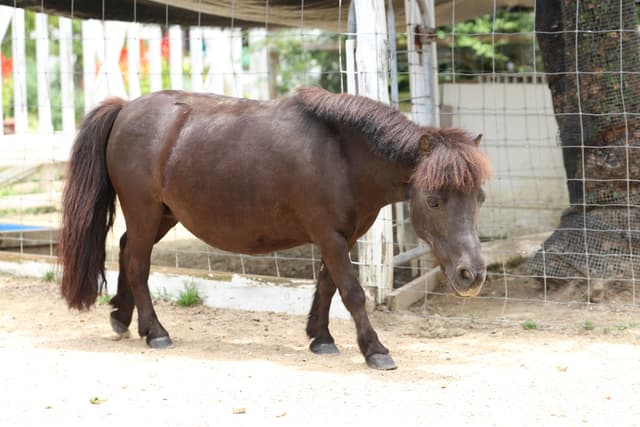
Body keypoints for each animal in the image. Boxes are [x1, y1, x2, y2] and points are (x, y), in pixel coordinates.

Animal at [58, 87, 492, 370]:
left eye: (480, 198)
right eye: (433, 200)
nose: (471, 275)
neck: (343, 156)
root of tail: (125, 108)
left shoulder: (342, 237)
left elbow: (327, 285)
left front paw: (321, 338)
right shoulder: (330, 237)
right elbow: (352, 293)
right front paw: (375, 350)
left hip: (163, 215)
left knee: (126, 250)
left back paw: (121, 317)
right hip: (144, 211)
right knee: (138, 265)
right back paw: (155, 331)